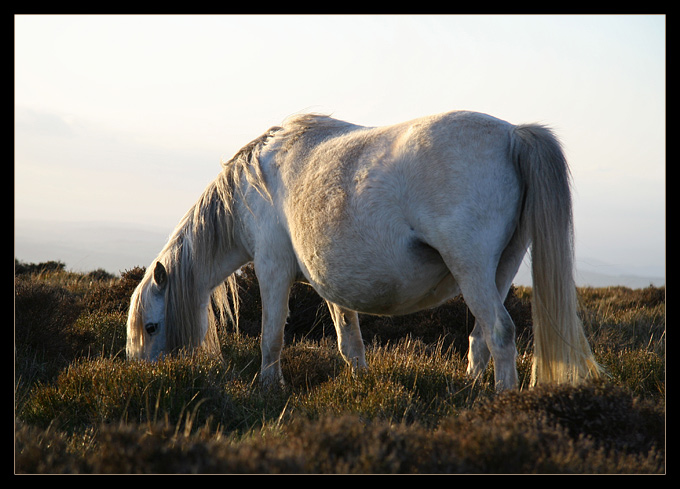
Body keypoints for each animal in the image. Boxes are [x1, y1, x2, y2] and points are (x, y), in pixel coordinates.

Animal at [126, 110, 600, 388]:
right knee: (481, 337)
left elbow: (271, 338)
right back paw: (469, 392)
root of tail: (513, 135)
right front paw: (361, 386)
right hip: (500, 270)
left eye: (151, 326)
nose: (139, 377)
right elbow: (349, 343)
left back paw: (501, 402)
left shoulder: (272, 269)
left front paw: (269, 389)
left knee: (499, 333)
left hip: (472, 270)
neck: (250, 187)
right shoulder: (331, 286)